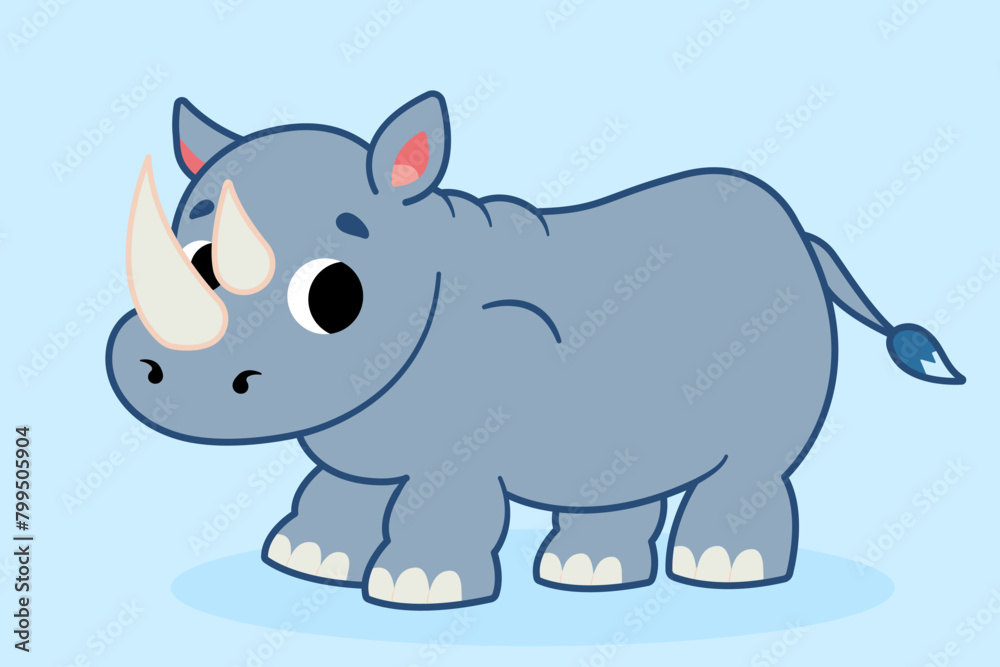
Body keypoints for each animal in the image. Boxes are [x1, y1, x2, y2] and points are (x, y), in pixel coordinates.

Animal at [106, 91, 965, 609]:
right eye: (193, 258)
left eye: (335, 296)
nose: (158, 372)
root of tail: (800, 233)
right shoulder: (360, 438)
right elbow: (336, 488)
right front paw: (306, 558)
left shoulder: (460, 443)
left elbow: (438, 503)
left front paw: (418, 588)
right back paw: (587, 576)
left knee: (752, 466)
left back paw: (723, 571)